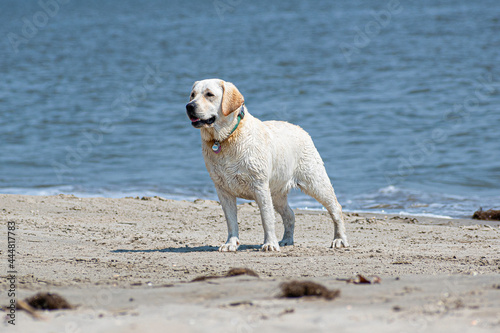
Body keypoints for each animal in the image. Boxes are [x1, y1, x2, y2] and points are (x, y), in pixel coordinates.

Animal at [185, 79, 348, 250]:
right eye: (192, 95)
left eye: (209, 94)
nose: (189, 106)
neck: (226, 138)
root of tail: (300, 129)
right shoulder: (223, 189)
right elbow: (231, 220)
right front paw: (231, 243)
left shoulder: (260, 186)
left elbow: (266, 218)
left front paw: (269, 244)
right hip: (277, 192)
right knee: (290, 214)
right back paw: (287, 240)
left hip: (315, 181)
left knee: (336, 208)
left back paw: (339, 239)